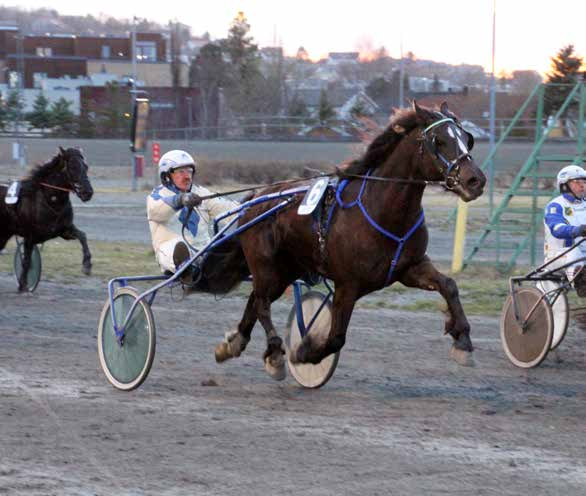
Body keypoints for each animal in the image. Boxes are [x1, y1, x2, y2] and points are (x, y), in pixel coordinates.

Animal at [0, 147, 92, 290]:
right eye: (73, 167)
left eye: (86, 167)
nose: (88, 192)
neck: (50, 200)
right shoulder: (30, 236)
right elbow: (26, 261)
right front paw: (23, 286)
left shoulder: (64, 231)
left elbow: (82, 236)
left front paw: (87, 265)